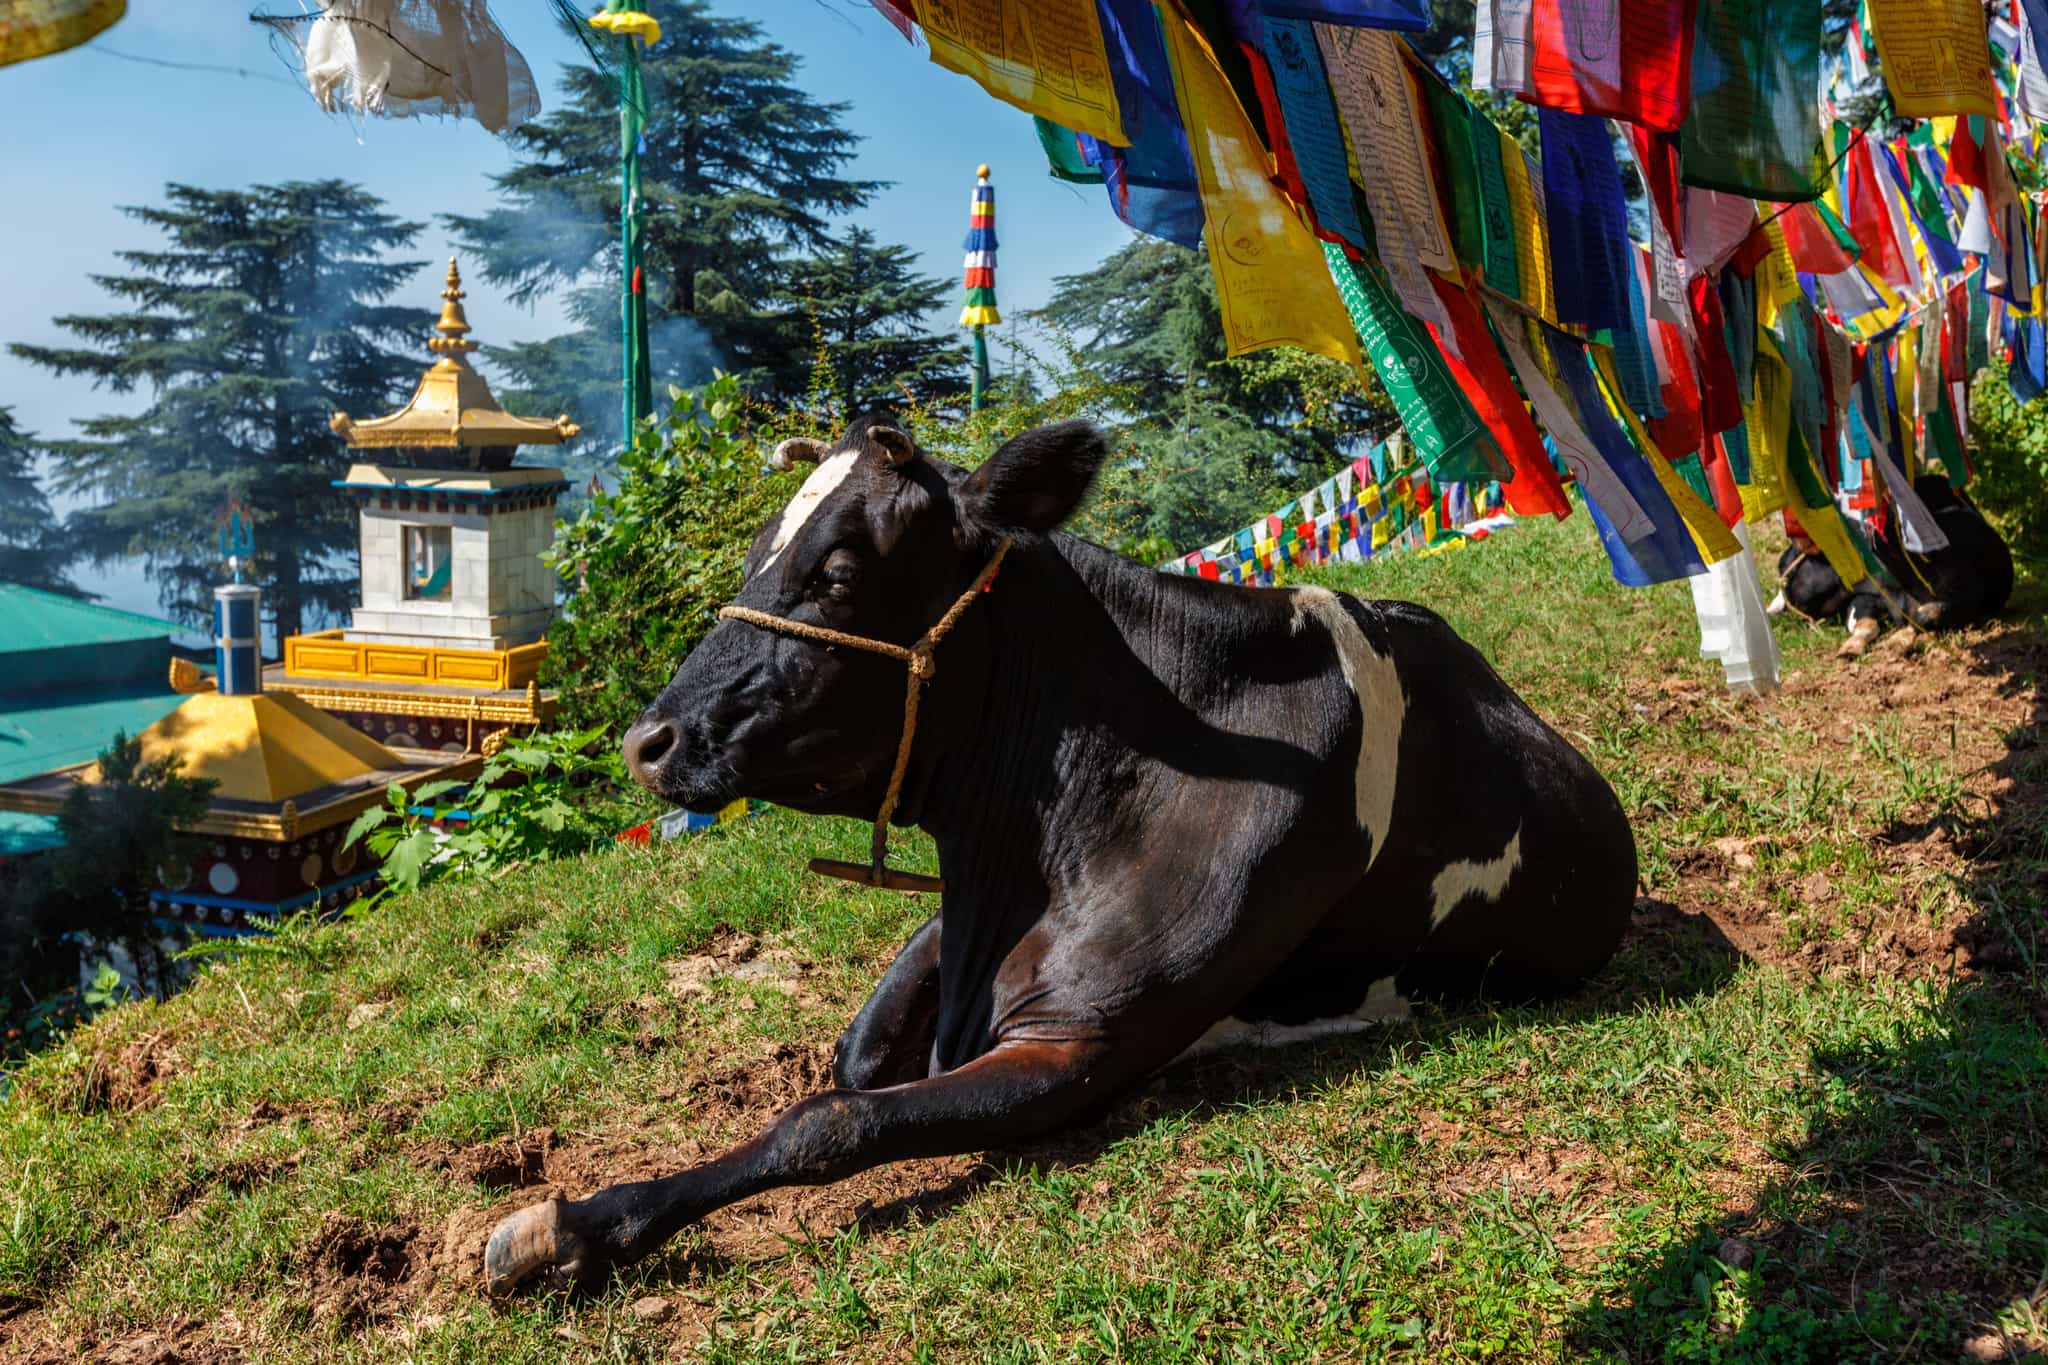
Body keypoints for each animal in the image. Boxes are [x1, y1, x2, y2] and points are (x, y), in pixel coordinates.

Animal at [482, 415, 1638, 1294]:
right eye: (761, 548)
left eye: (839, 572)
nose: (648, 740)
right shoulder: (952, 923)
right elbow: (855, 1060)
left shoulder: (1074, 1043)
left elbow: (827, 1122)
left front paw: (574, 1226)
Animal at [1772, 475, 2014, 656]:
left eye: (1783, 565)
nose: (1775, 611)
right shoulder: (1867, 596)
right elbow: (1865, 623)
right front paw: (1851, 648)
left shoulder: (1968, 599)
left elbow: (1925, 616)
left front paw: (1898, 642)